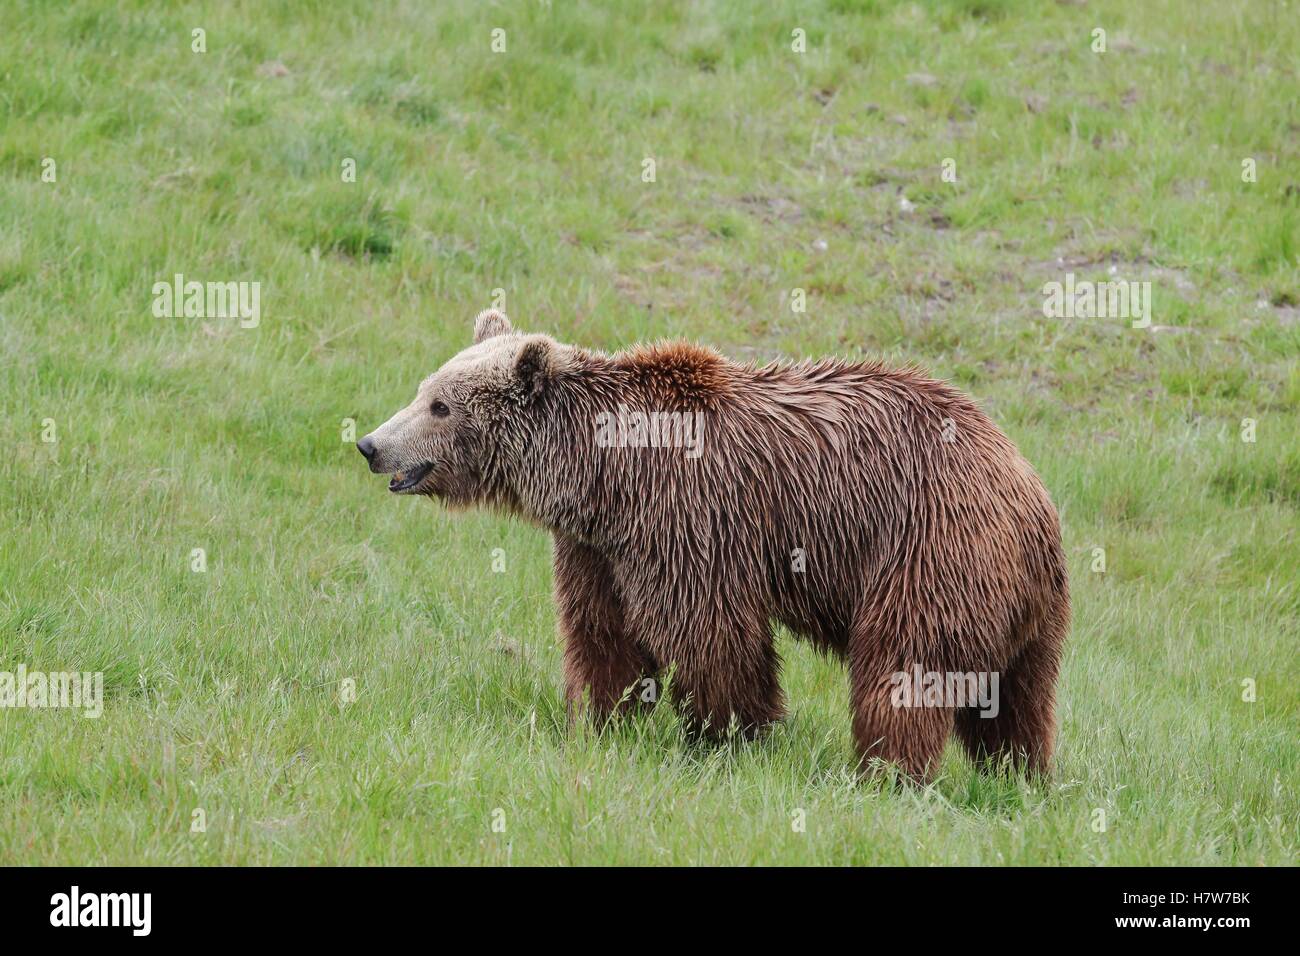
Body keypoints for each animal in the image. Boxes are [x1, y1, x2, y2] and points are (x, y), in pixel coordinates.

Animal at [358, 310, 1070, 781]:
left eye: (442, 405)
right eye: (424, 390)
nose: (370, 444)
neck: (602, 476)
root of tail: (1030, 490)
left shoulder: (687, 518)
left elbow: (712, 635)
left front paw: (726, 735)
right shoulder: (599, 547)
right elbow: (603, 634)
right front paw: (599, 722)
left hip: (929, 546)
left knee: (903, 667)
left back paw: (883, 771)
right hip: (1017, 603)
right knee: (1017, 698)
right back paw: (1018, 774)